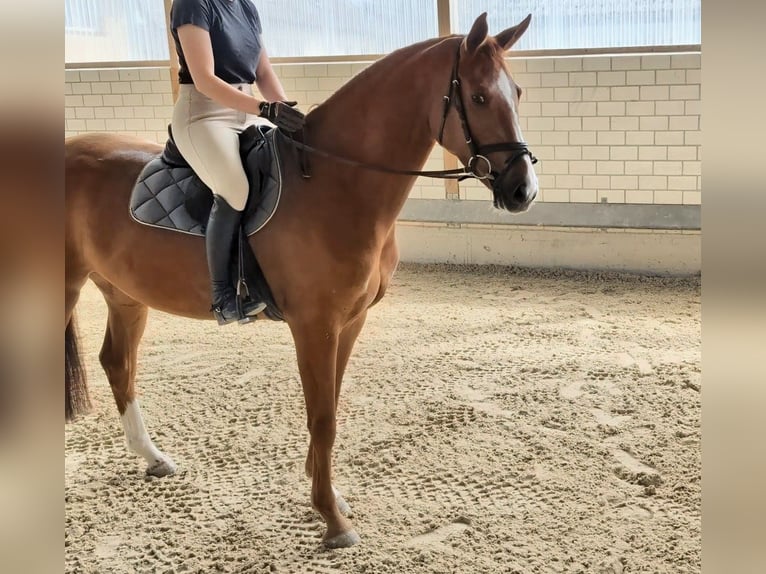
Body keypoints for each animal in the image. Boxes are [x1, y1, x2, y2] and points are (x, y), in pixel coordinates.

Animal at [64, 12, 538, 548]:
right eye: (477, 97)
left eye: (517, 93)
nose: (523, 190)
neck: (337, 182)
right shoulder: (315, 325)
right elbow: (323, 417)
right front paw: (332, 519)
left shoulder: (348, 322)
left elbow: (329, 406)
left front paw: (327, 497)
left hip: (124, 293)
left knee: (117, 363)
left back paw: (154, 458)